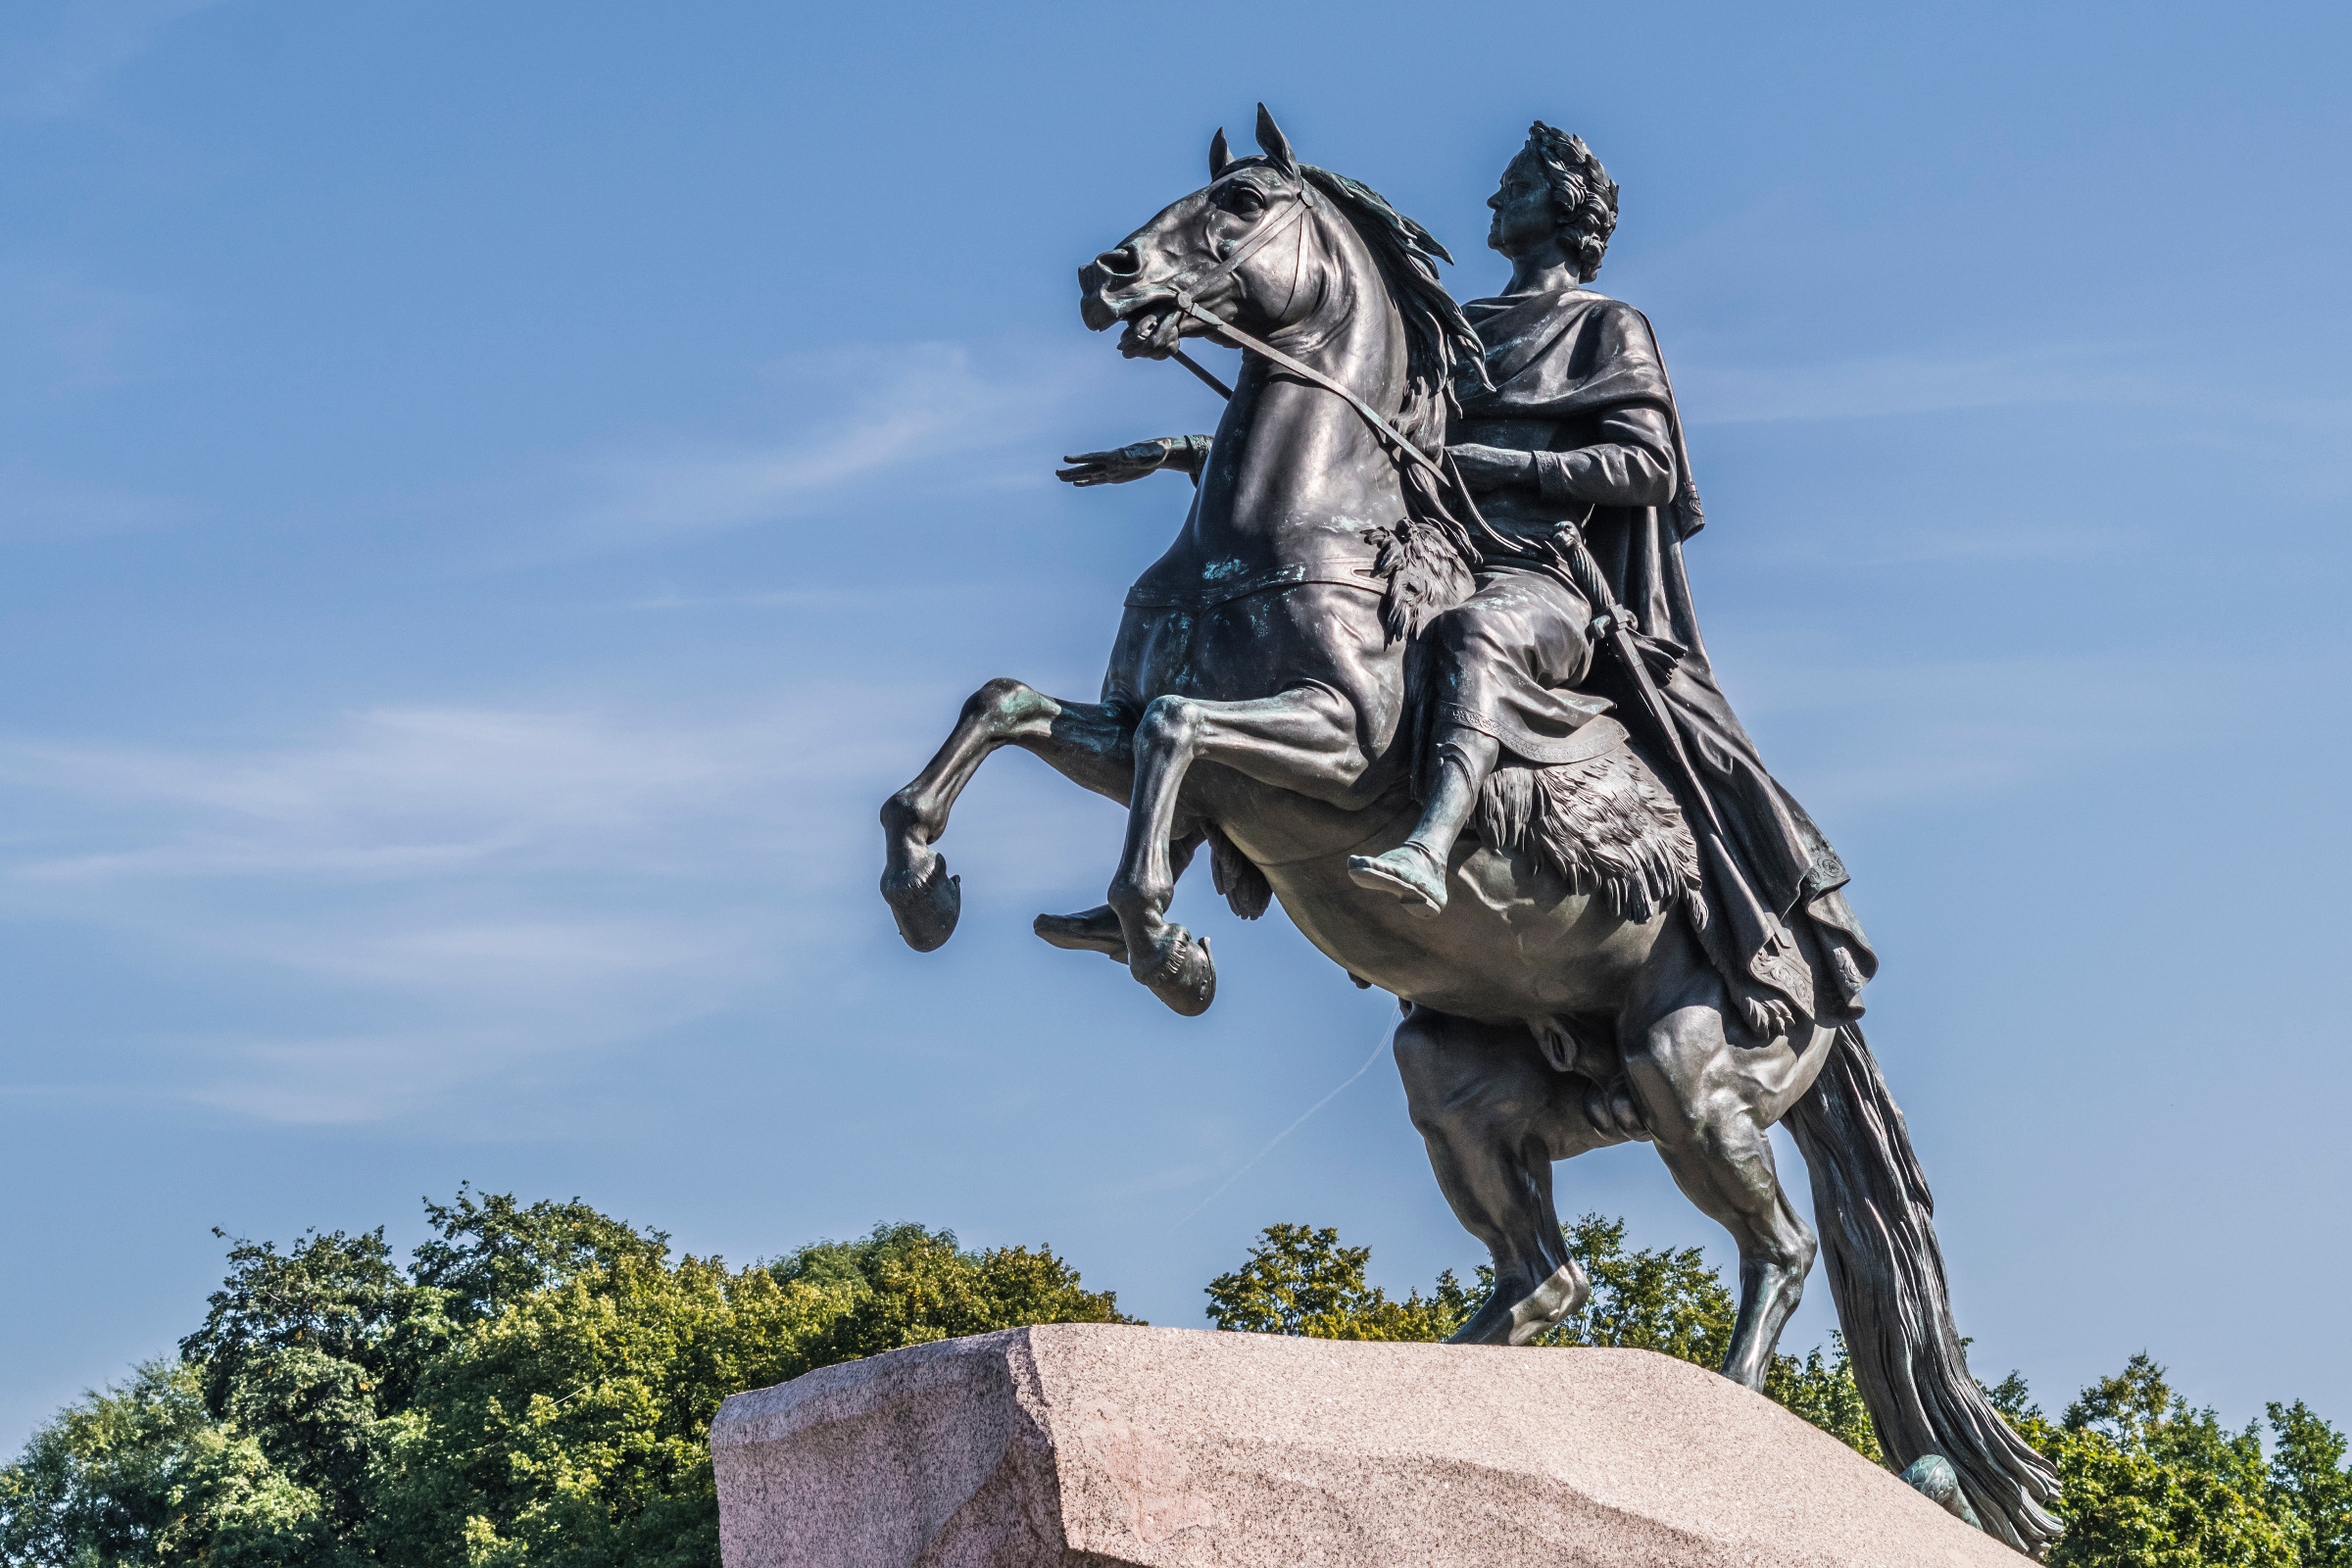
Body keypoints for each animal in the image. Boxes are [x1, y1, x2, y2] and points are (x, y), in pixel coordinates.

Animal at [879, 110, 2060, 1560]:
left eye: (1243, 202)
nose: (1110, 275)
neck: (1278, 530)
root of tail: (1832, 989)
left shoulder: (1330, 751)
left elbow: (1177, 731)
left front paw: (1168, 948)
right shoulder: (1135, 740)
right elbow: (1011, 707)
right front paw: (930, 888)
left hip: (1690, 1073)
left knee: (1775, 1252)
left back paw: (1730, 1419)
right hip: (1454, 1073)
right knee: (1549, 1276)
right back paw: (1445, 1379)